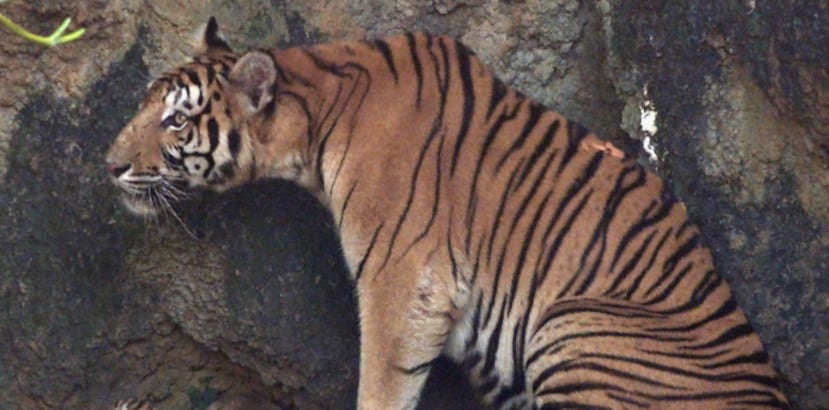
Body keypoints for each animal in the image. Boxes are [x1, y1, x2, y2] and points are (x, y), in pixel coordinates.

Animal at [105, 17, 788, 409]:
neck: (316, 110)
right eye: (144, 105)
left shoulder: (402, 282)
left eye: (175, 121)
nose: (109, 164)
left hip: (574, 324)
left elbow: (381, 384)